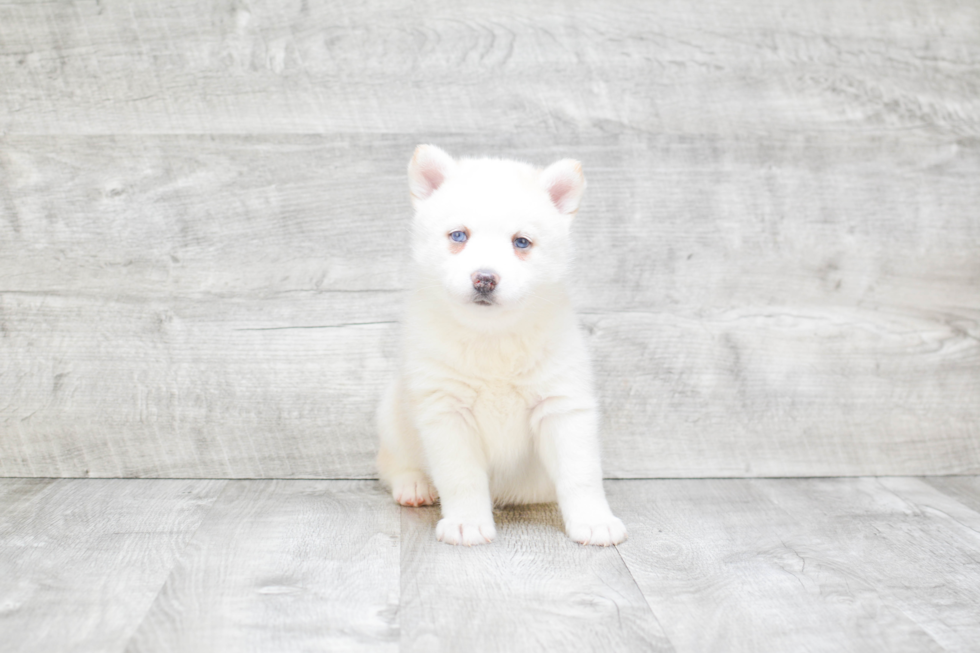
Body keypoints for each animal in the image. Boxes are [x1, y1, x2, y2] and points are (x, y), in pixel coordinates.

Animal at [378, 144, 628, 544]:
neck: (491, 337)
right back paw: (413, 485)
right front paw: (466, 522)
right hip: (391, 412)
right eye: (459, 235)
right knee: (392, 462)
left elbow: (581, 474)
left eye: (521, 242)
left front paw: (593, 520)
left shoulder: (562, 406)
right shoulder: (445, 410)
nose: (484, 278)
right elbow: (461, 477)